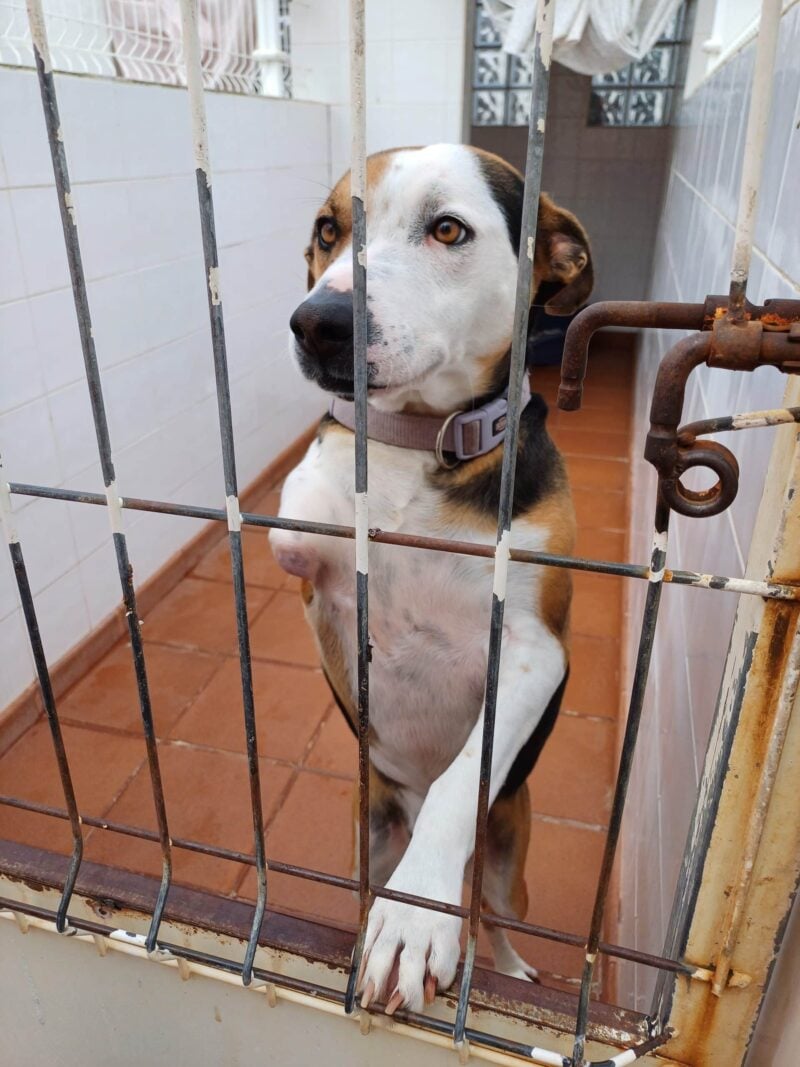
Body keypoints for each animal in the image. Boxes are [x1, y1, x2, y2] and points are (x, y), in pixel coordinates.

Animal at [273, 141, 593, 1015]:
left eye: (448, 229)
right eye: (327, 229)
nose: (319, 322)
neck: (423, 439)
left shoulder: (532, 651)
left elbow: (458, 778)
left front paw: (417, 919)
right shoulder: (305, 570)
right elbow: (303, 502)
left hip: (511, 852)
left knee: (496, 919)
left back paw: (507, 965)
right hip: (368, 833)